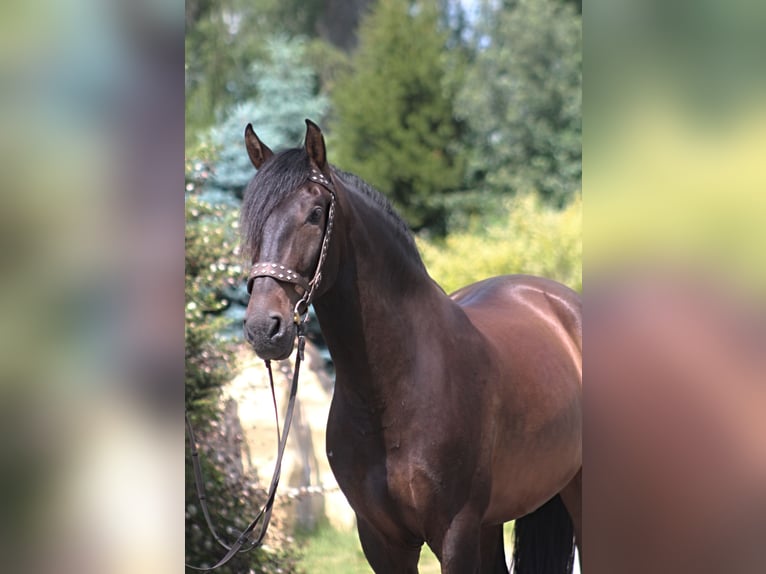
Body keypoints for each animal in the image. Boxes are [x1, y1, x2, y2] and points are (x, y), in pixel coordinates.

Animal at [240, 119, 582, 573]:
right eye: (251, 222)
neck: (394, 389)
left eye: (314, 215)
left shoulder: (454, 533)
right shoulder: (381, 540)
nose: (264, 328)